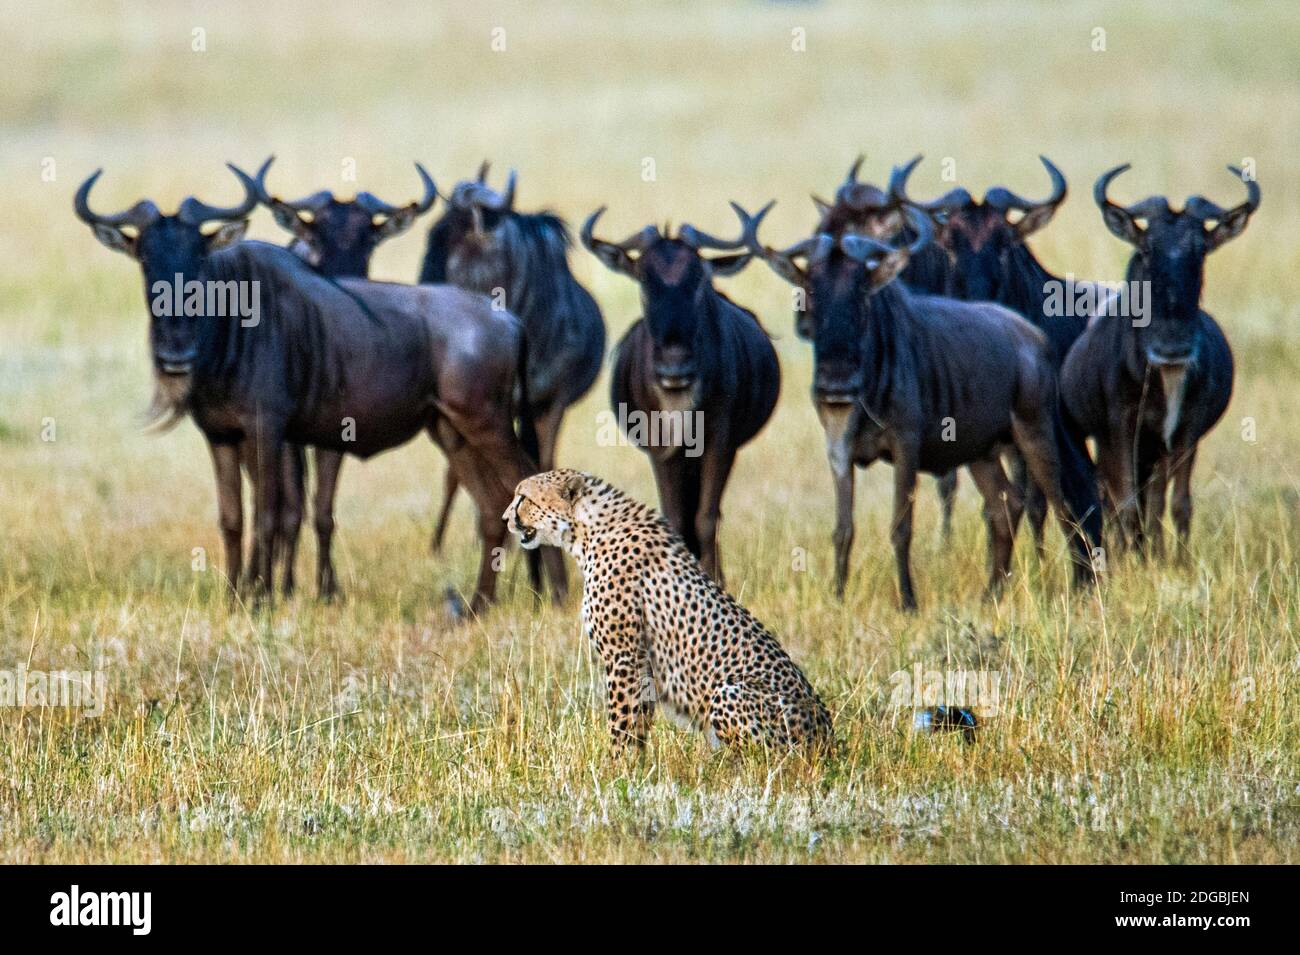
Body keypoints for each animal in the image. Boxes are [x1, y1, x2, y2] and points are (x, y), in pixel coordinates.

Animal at [501, 470, 826, 753]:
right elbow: (638, 721)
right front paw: (636, 768)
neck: (587, 530)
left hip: (729, 691)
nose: (506, 519)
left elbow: (621, 721)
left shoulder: (625, 656)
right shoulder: (641, 663)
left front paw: (615, 768)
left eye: (523, 498)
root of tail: (828, 738)